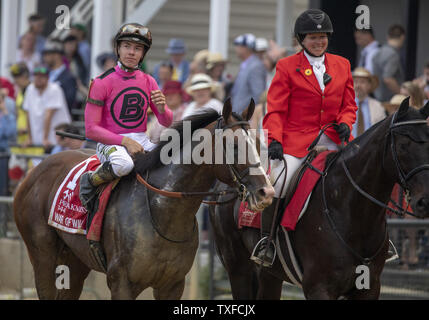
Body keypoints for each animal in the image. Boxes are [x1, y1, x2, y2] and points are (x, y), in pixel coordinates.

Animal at [14, 99, 274, 298]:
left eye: (258, 143)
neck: (163, 212)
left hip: (75, 261)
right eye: (235, 145)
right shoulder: (121, 282)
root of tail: (34, 172)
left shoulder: (172, 284)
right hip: (43, 257)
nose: (266, 192)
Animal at [210, 98, 428, 300]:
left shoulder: (370, 287)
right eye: (403, 145)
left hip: (269, 274)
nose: (424, 201)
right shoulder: (319, 288)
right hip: (239, 269)